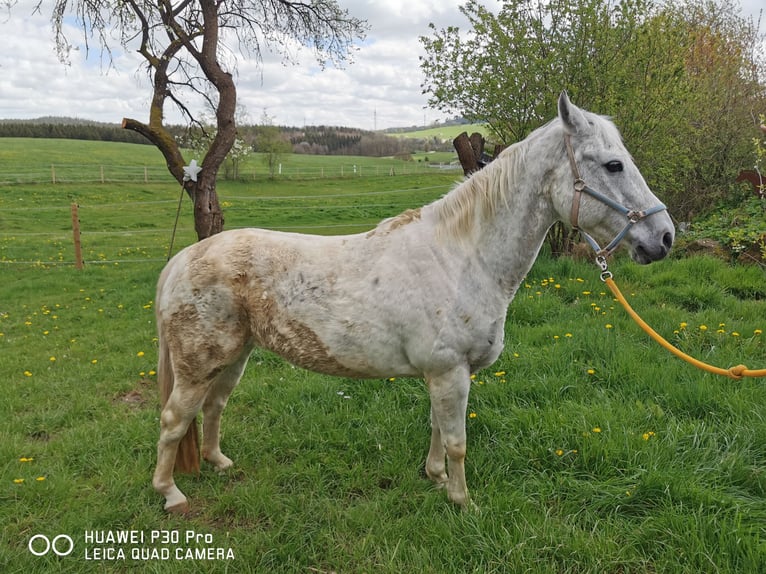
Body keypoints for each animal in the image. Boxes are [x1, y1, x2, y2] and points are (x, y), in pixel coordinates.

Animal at [153, 92, 676, 516]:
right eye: (613, 165)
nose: (664, 237)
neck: (462, 256)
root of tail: (182, 260)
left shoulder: (443, 375)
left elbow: (436, 430)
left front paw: (436, 478)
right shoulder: (449, 371)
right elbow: (458, 441)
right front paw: (463, 501)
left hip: (235, 357)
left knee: (214, 407)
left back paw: (218, 461)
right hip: (199, 365)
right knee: (175, 419)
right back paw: (170, 494)